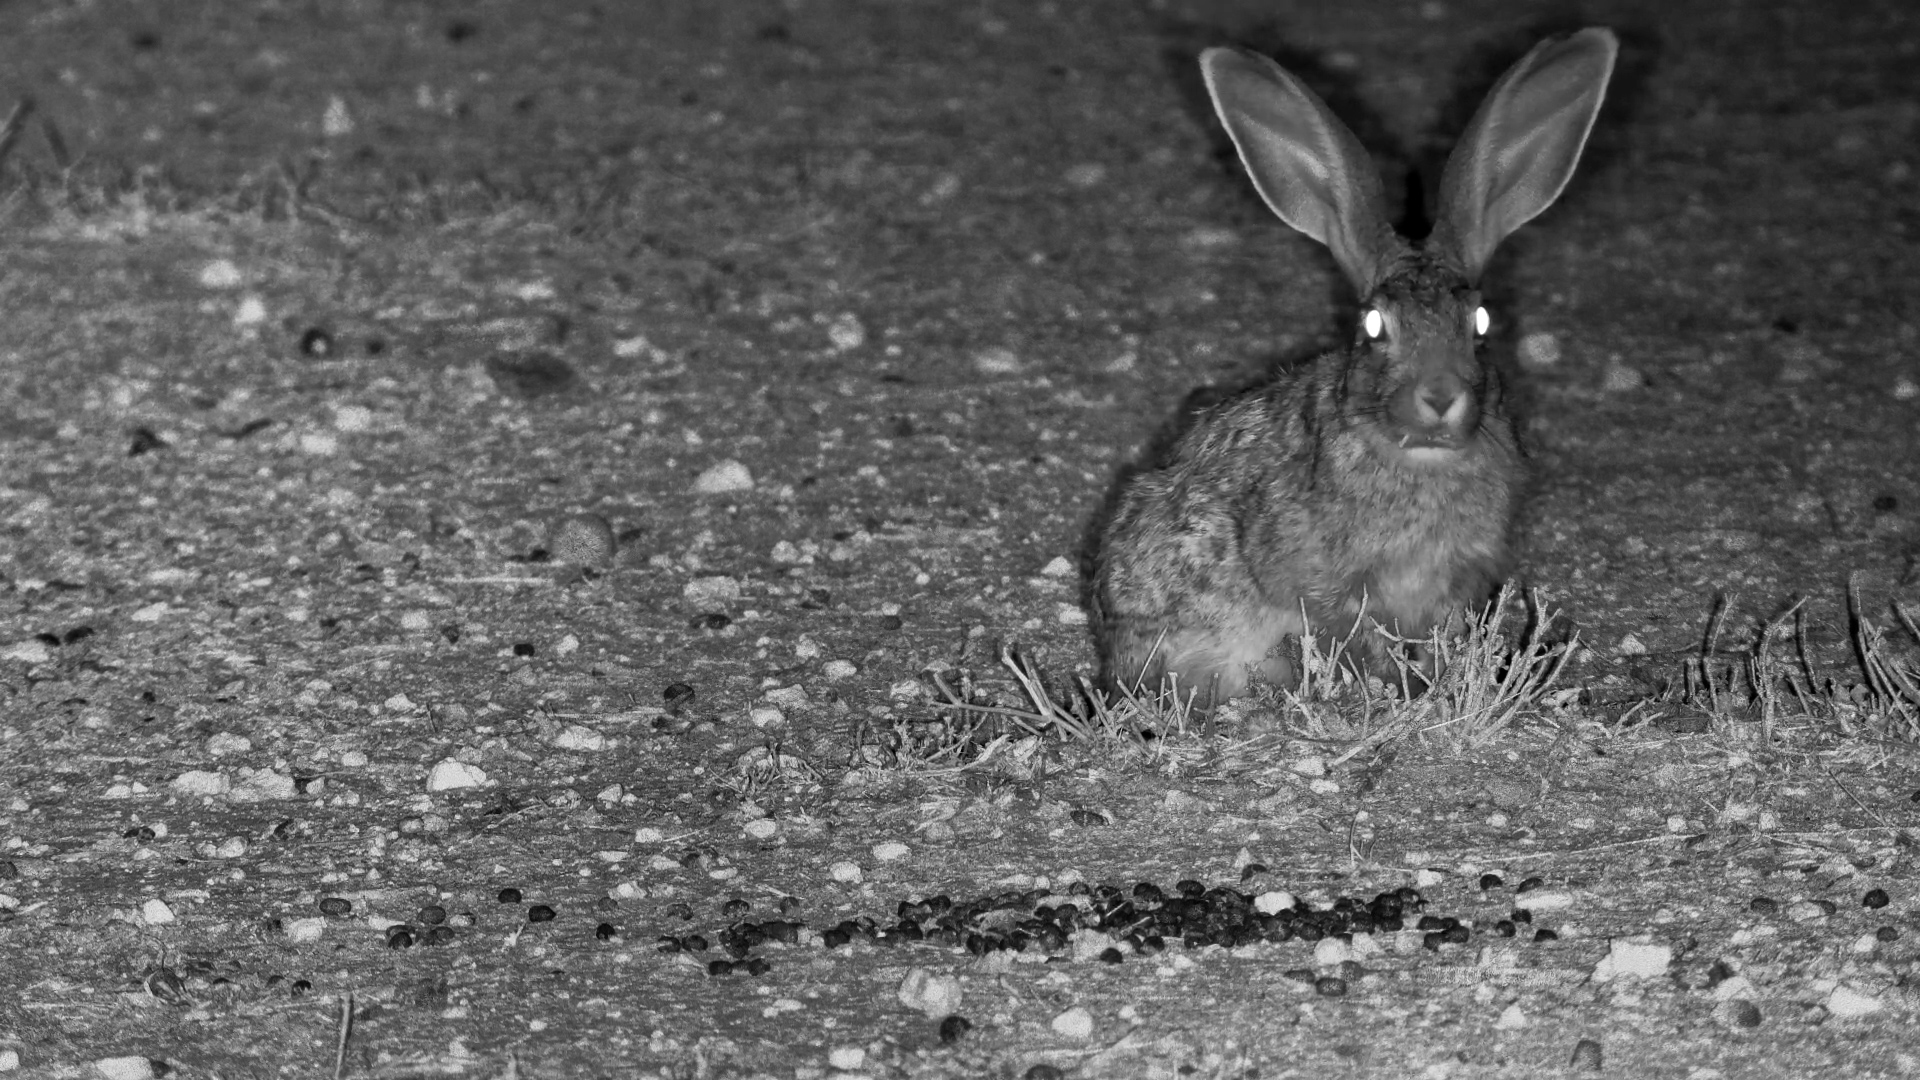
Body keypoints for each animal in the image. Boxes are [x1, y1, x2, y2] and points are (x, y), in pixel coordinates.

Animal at [1093, 29, 1617, 708]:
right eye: (1373, 326)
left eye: (1479, 323)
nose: (1439, 395)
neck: (1419, 457)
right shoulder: (1327, 582)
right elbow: (1350, 634)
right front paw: (1396, 691)